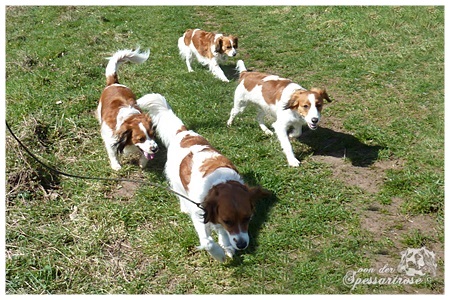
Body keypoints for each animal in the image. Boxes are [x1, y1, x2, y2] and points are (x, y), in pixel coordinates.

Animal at [139, 92, 268, 262]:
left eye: (247, 218)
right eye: (228, 221)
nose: (242, 244)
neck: (220, 181)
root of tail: (183, 132)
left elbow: (221, 231)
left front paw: (226, 245)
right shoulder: (199, 213)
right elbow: (207, 241)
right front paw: (219, 254)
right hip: (175, 179)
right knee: (179, 192)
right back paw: (184, 207)